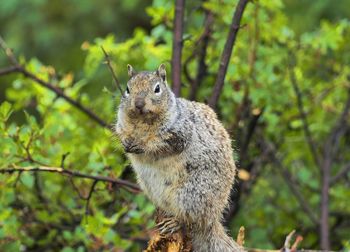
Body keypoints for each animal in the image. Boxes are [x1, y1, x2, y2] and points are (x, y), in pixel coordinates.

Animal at [116, 63, 242, 252]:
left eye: (157, 89)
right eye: (127, 89)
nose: (138, 104)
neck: (141, 121)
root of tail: (212, 219)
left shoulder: (181, 132)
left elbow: (161, 143)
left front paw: (143, 145)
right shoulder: (120, 125)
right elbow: (121, 133)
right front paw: (126, 142)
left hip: (191, 194)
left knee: (190, 219)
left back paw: (175, 222)